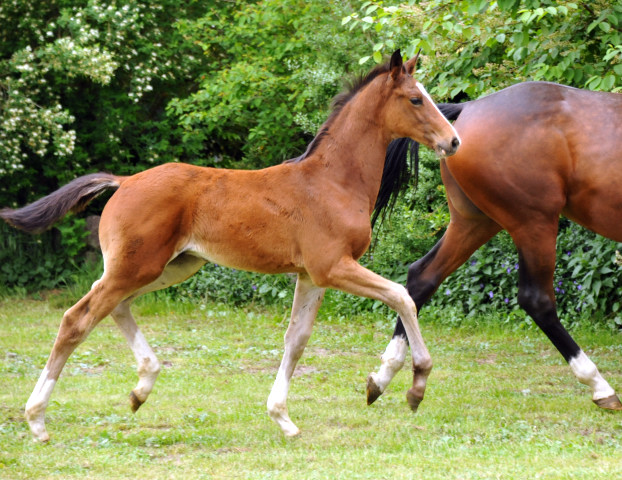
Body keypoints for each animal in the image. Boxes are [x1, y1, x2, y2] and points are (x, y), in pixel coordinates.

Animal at [0, 50, 460, 440]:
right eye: (416, 99)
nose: (453, 141)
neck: (332, 181)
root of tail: (124, 181)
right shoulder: (333, 266)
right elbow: (401, 295)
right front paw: (410, 383)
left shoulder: (312, 276)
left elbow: (297, 340)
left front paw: (283, 418)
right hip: (137, 266)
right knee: (77, 319)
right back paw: (37, 420)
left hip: (169, 266)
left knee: (114, 307)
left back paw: (141, 387)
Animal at [368, 81, 622, 412]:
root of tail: (469, 109)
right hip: (533, 222)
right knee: (537, 300)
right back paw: (599, 385)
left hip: (474, 222)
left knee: (421, 277)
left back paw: (386, 375)